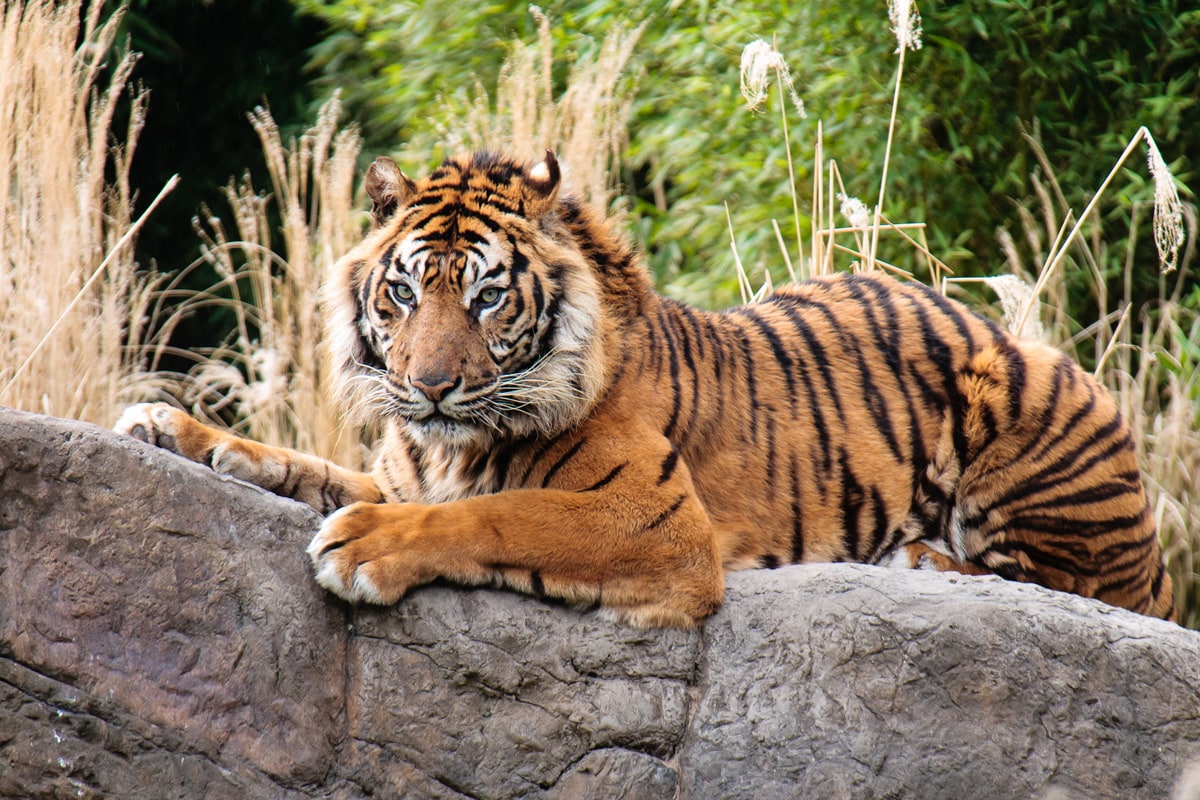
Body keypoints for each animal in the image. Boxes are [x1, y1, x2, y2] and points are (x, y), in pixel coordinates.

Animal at [116, 150, 1176, 627]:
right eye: (404, 291)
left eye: (489, 296)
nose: (429, 387)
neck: (447, 444)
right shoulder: (405, 467)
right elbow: (296, 462)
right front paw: (168, 424)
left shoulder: (657, 518)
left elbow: (499, 516)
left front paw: (366, 548)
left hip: (1031, 396)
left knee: (1074, 589)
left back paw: (922, 559)